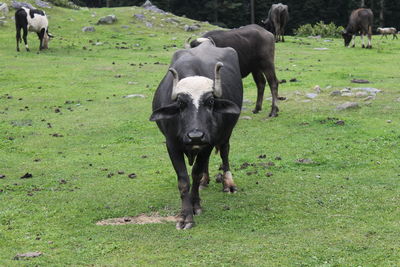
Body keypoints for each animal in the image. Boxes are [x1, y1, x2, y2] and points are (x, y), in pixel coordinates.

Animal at [151, 40, 242, 230]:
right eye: (180, 103)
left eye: (210, 102)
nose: (196, 136)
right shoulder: (171, 144)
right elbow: (184, 180)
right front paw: (186, 216)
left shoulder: (208, 144)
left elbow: (195, 173)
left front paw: (196, 206)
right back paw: (205, 182)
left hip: (226, 133)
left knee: (225, 152)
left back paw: (228, 184)